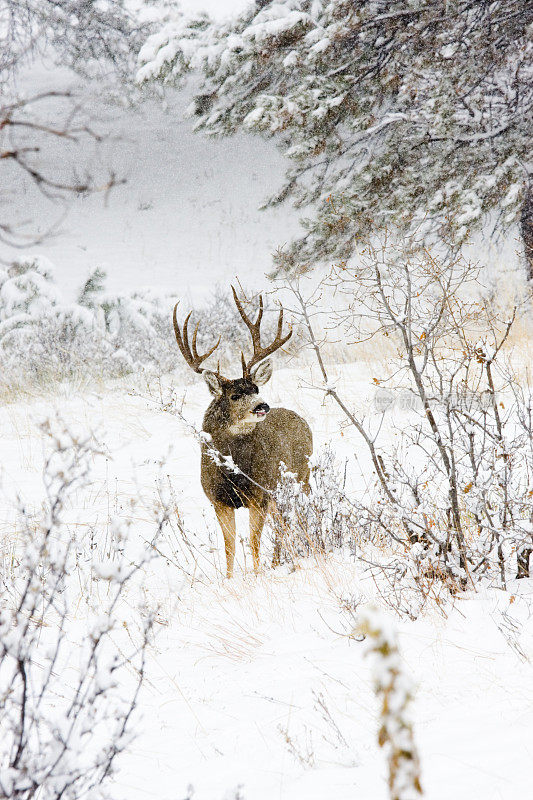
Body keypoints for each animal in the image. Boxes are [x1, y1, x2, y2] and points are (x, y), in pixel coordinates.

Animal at [172, 290, 310, 580]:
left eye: (256, 388)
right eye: (235, 395)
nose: (262, 406)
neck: (233, 471)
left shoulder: (260, 495)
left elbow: (254, 541)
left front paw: (257, 575)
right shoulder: (218, 500)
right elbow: (229, 545)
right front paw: (229, 578)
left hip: (301, 478)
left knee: (294, 520)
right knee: (283, 526)